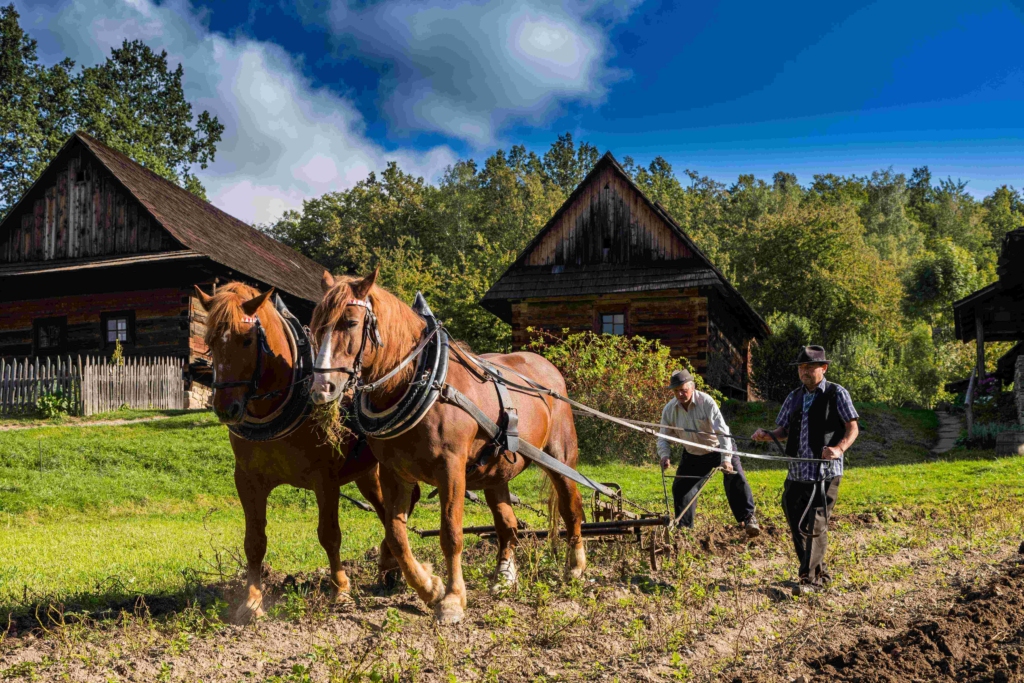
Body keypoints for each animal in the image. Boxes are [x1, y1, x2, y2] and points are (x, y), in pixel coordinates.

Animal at [195, 280, 407, 622]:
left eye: (247, 339)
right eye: (210, 341)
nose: (226, 408)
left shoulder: (326, 479)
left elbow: (330, 535)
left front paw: (340, 591)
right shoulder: (248, 480)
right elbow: (254, 541)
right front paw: (251, 602)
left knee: (392, 511)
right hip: (366, 475)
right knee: (386, 511)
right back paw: (389, 566)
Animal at [309, 270, 585, 626]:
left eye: (351, 322)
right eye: (316, 325)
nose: (322, 388)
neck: (423, 381)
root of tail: (547, 369)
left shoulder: (450, 469)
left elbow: (451, 533)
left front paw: (453, 599)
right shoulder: (395, 473)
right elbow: (395, 533)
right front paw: (430, 588)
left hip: (559, 457)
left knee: (570, 507)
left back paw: (575, 568)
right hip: (496, 471)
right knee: (507, 524)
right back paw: (504, 577)